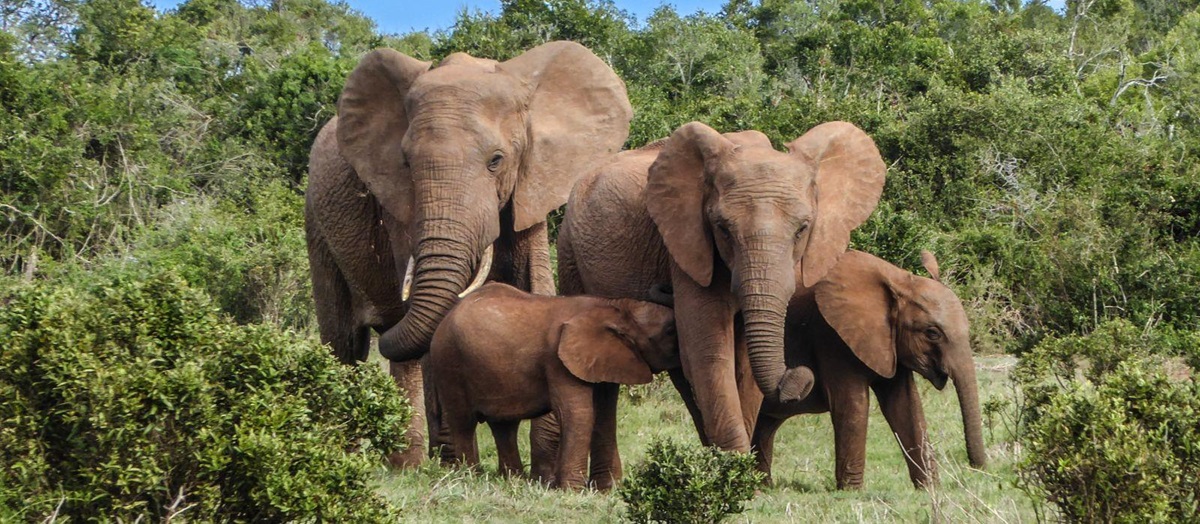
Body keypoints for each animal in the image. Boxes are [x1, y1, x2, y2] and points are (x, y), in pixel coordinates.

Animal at [305, 41, 633, 466]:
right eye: (406, 163)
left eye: (496, 160)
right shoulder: (398, 205)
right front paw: (455, 460)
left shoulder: (530, 185)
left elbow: (536, 285)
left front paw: (544, 465)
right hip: (315, 221)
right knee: (344, 344)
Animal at [428, 283, 678, 490]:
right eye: (669, 331)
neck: (615, 306)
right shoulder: (557, 360)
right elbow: (577, 414)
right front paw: (572, 491)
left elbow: (604, 415)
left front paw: (609, 490)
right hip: (448, 361)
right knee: (463, 422)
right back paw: (471, 477)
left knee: (504, 426)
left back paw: (513, 480)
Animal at [554, 121, 887, 455]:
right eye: (722, 228)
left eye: (802, 229)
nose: (801, 377)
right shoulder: (688, 246)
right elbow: (710, 352)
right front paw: (735, 465)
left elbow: (743, 366)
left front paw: (737, 465)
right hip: (569, 251)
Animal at [752, 250, 988, 490]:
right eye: (932, 333)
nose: (976, 468)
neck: (899, 280)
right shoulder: (830, 335)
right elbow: (853, 404)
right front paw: (851, 492)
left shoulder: (890, 344)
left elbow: (905, 405)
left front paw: (930, 489)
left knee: (765, 425)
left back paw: (763, 486)